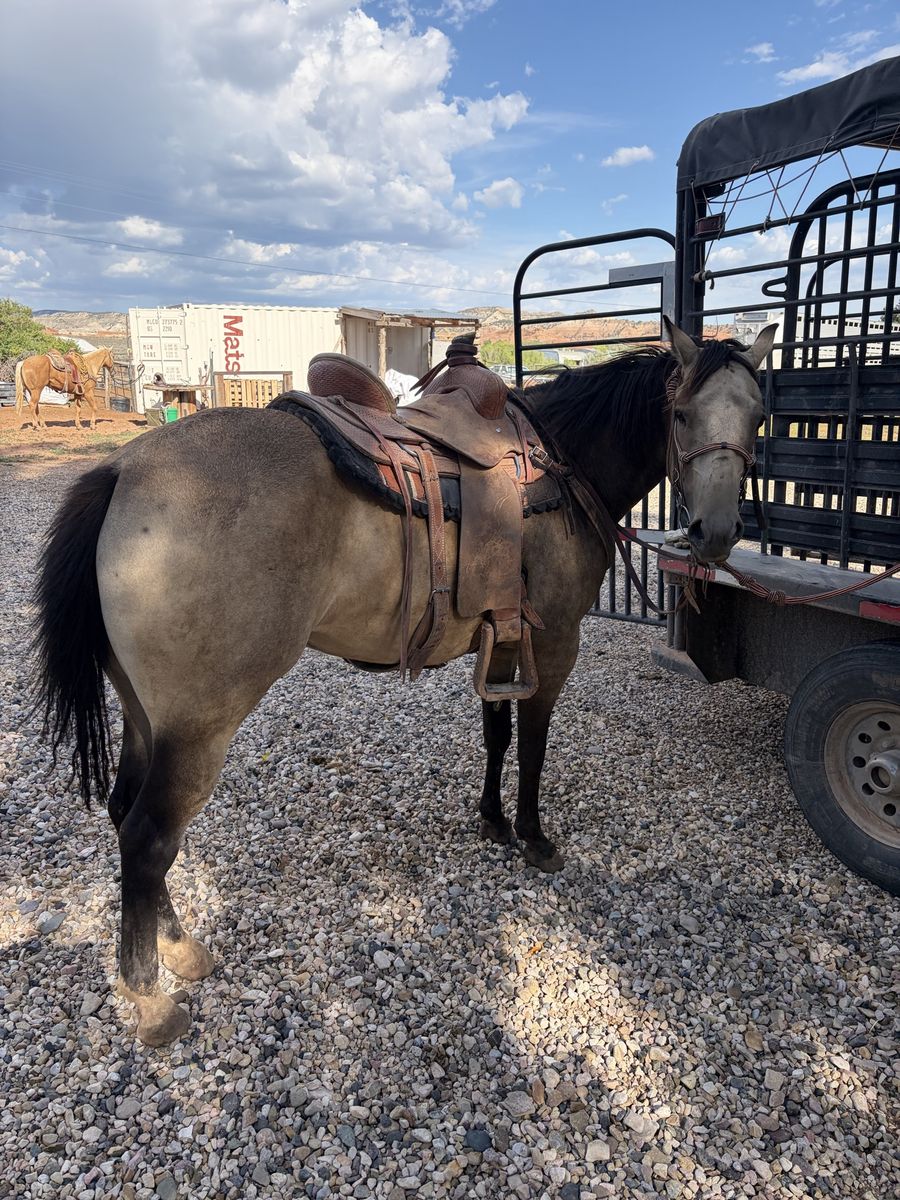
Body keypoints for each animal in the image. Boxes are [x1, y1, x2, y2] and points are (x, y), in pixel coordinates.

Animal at [32, 319, 776, 1045]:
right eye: (681, 414)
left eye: (759, 416)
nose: (716, 533)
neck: (562, 465)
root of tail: (123, 470)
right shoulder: (555, 640)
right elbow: (533, 745)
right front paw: (533, 835)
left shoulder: (503, 637)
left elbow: (496, 735)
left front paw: (492, 820)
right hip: (198, 726)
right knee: (149, 838)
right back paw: (152, 996)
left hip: (145, 715)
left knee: (124, 811)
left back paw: (179, 949)